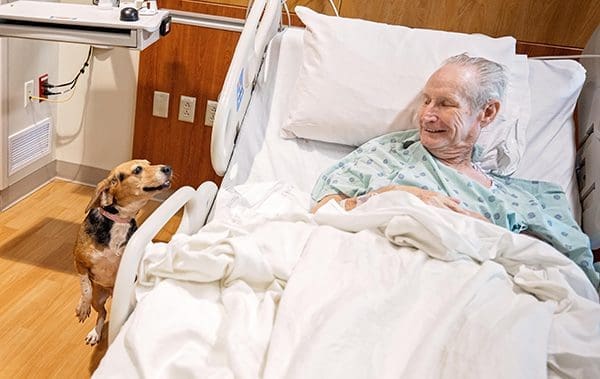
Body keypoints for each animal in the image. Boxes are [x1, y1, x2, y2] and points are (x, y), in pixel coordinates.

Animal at [73, 159, 171, 346]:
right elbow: (85, 287)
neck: (119, 221)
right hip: (98, 298)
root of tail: (111, 292)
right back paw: (95, 333)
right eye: (138, 169)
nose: (168, 168)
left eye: (149, 163)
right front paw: (83, 307)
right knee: (102, 312)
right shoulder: (79, 261)